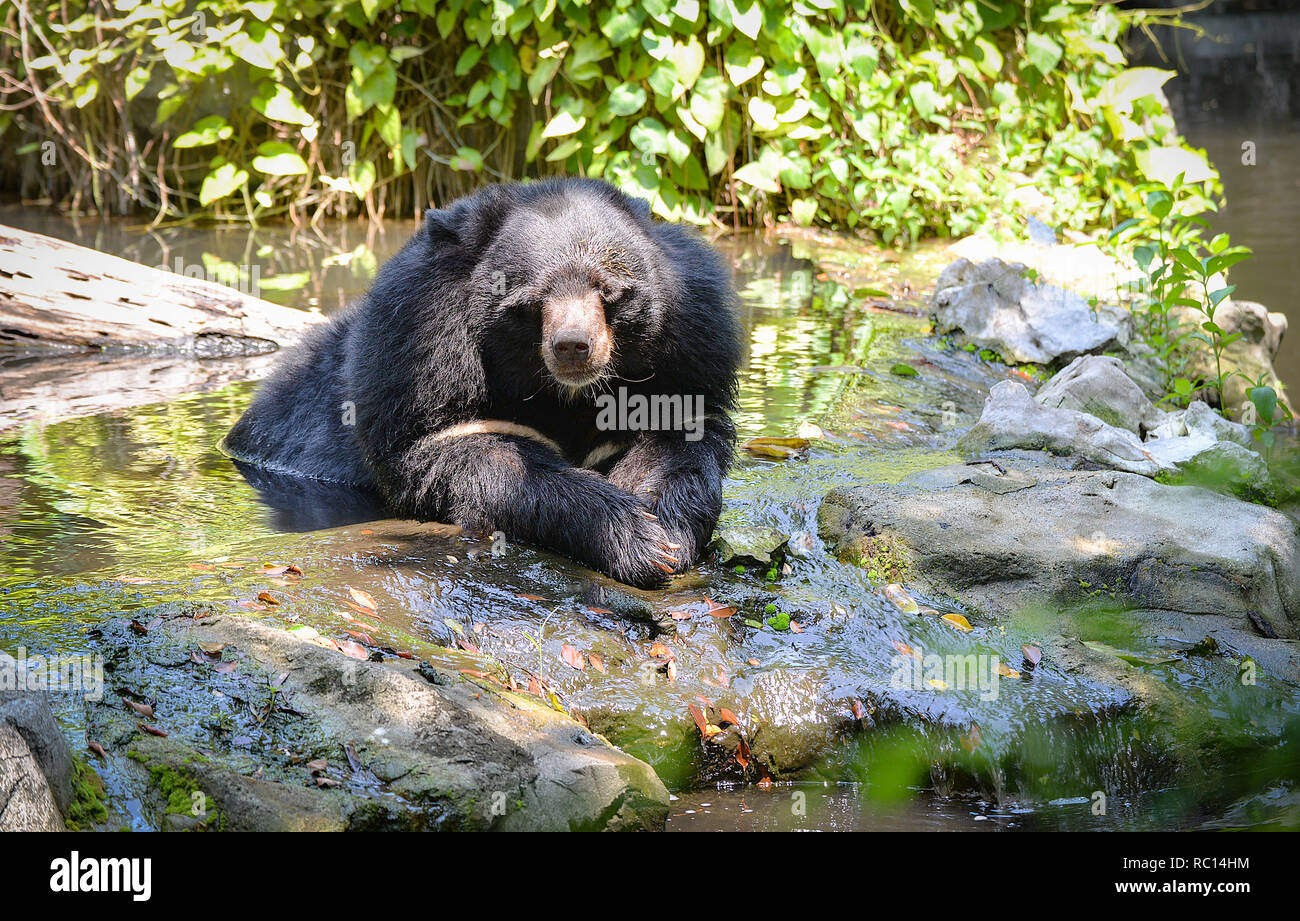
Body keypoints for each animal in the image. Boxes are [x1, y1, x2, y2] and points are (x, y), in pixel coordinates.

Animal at [222, 177, 742, 588]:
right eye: (533, 301)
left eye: (608, 291)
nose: (574, 346)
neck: (565, 395)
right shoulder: (419, 362)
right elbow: (473, 458)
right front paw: (633, 536)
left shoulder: (689, 354)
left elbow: (677, 442)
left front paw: (667, 534)